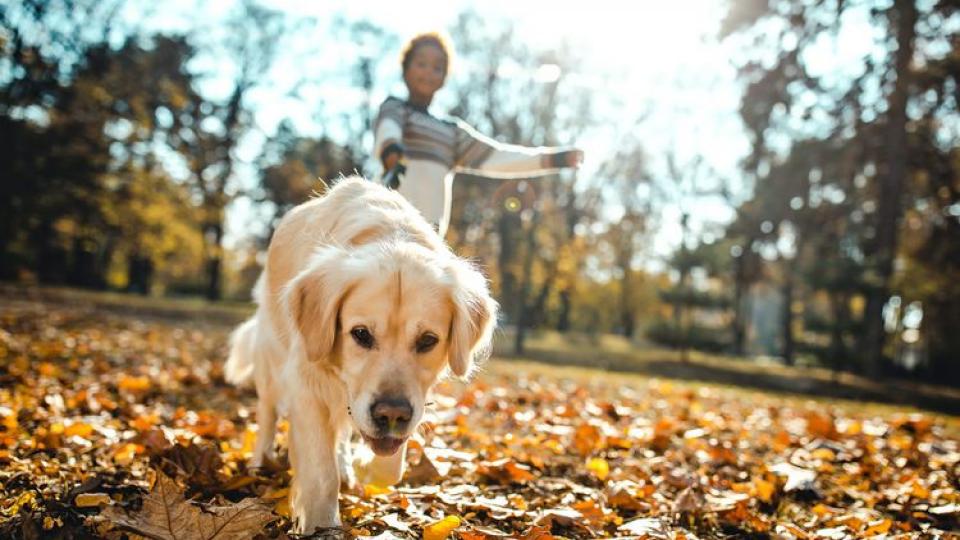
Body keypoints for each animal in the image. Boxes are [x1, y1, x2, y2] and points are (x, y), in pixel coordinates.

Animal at [223, 179, 496, 532]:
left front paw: (364, 467)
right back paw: (259, 464)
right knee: (268, 414)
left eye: (427, 340)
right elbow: (321, 474)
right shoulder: (306, 385)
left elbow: (391, 466)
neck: (390, 235)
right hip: (271, 359)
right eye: (361, 334)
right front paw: (321, 525)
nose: (391, 415)